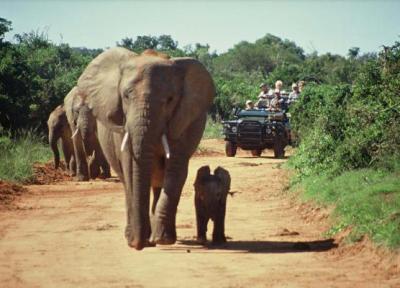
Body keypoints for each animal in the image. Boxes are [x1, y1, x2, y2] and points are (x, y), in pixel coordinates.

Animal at [76, 47, 216, 250]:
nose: (139, 245)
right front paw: (137, 239)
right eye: (126, 96)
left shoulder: (182, 121)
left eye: (170, 100)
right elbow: (129, 167)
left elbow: (175, 169)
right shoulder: (123, 125)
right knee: (127, 182)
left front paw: (163, 240)